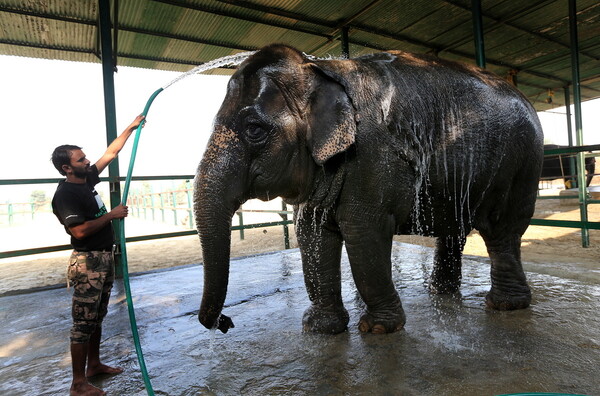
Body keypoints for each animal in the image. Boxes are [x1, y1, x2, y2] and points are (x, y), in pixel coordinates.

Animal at [195, 43, 548, 334]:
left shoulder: (373, 156)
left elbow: (363, 231)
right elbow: (311, 234)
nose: (223, 323)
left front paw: (378, 329)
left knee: (501, 230)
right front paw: (319, 328)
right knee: (456, 230)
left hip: (521, 165)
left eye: (254, 130)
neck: (317, 70)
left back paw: (505, 305)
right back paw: (441, 293)